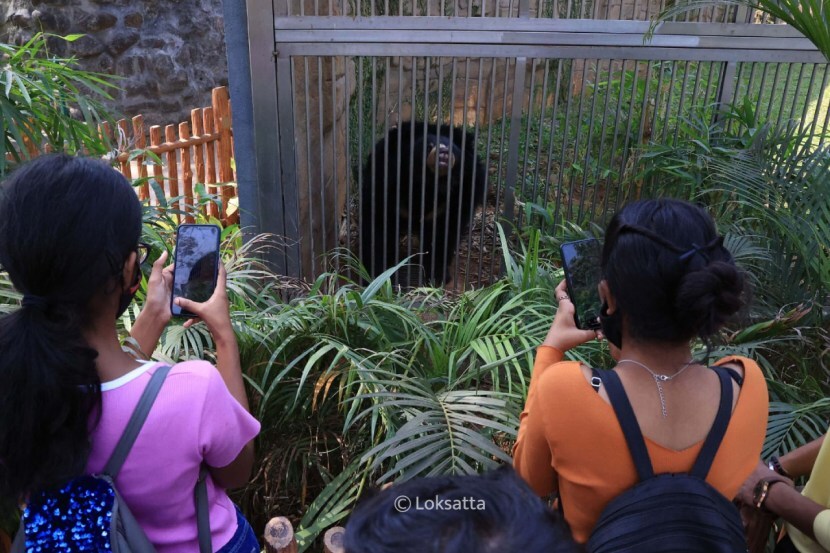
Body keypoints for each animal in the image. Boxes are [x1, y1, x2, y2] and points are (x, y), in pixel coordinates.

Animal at [358, 121, 488, 284]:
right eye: (429, 146)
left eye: (452, 148)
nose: (443, 152)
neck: (430, 184)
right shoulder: (385, 187)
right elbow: (378, 229)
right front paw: (377, 276)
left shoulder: (456, 199)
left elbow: (442, 236)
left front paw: (437, 276)